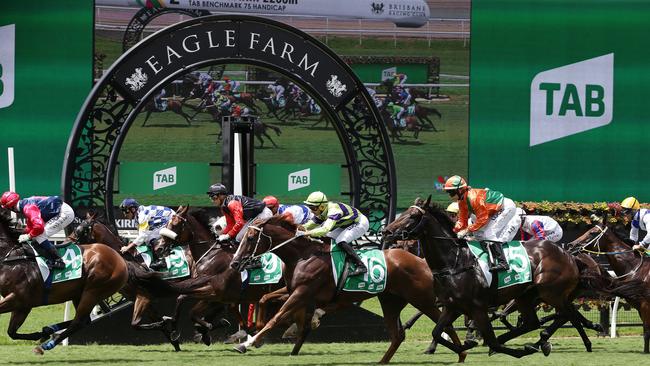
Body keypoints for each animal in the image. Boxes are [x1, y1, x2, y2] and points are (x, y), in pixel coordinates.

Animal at [0, 209, 129, 354]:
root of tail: (119, 258)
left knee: (79, 322)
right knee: (85, 321)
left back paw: (46, 345)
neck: (12, 258)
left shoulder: (20, 299)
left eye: (80, 230)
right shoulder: (22, 305)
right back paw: (48, 330)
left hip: (93, 292)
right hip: (78, 294)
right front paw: (41, 334)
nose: (67, 241)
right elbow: (11, 332)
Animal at [229, 214, 466, 364]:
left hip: (421, 299)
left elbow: (277, 316)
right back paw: (382, 362)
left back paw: (462, 353)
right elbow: (264, 299)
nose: (235, 263)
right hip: (390, 301)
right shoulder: (294, 290)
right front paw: (254, 332)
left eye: (251, 238)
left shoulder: (302, 292)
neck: (303, 254)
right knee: (398, 335)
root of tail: (421, 261)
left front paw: (249, 343)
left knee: (445, 322)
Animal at [380, 199, 616, 358]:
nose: (387, 232)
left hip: (551, 292)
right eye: (403, 213)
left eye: (412, 217)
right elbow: (437, 331)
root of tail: (570, 255)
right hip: (527, 296)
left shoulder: (477, 306)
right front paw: (459, 345)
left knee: (566, 314)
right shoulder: (452, 305)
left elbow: (485, 334)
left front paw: (474, 339)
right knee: (540, 320)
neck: (455, 261)